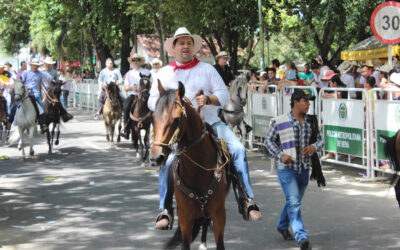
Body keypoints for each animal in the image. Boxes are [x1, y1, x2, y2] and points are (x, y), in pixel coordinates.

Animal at [150, 81, 230, 249]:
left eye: (176, 119)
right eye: (153, 117)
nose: (156, 157)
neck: (198, 171)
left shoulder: (219, 215)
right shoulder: (184, 217)